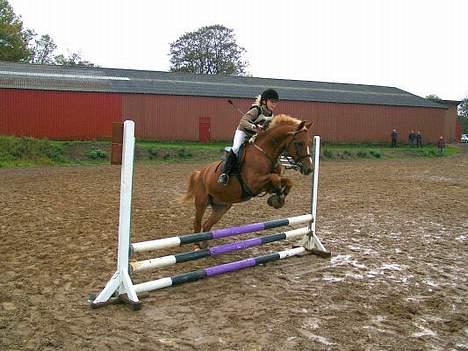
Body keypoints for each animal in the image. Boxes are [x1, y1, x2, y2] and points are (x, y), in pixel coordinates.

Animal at [183, 115, 314, 248]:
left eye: (310, 143)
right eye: (299, 143)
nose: (309, 169)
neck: (264, 153)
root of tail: (200, 173)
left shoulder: (265, 186)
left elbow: (288, 181)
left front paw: (279, 198)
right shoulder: (254, 183)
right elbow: (275, 178)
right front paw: (278, 197)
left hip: (221, 206)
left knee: (207, 225)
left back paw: (204, 245)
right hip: (202, 202)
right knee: (197, 224)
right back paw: (196, 246)